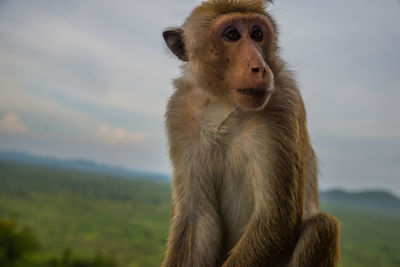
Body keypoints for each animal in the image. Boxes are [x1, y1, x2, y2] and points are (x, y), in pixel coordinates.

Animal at [161, 1, 340, 266]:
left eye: (256, 34)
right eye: (232, 35)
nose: (260, 68)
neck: (224, 104)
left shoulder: (284, 103)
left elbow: (275, 221)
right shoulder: (180, 113)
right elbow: (198, 219)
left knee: (323, 226)